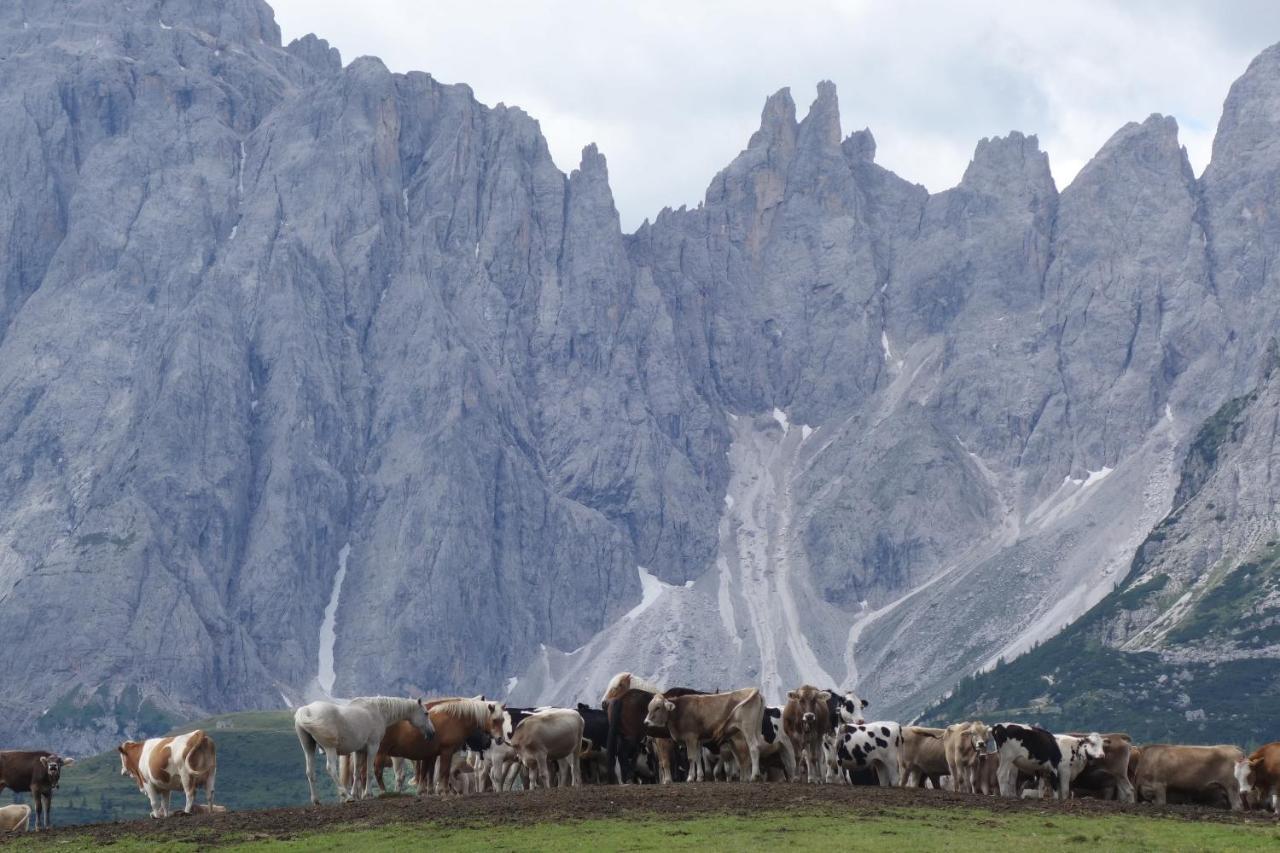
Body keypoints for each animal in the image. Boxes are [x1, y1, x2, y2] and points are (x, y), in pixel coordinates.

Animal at [294, 696, 435, 799]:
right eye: (426, 713)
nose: (432, 732)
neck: (378, 711)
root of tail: (306, 710)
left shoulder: (359, 750)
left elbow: (357, 772)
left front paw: (355, 793)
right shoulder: (373, 747)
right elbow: (369, 771)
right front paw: (367, 794)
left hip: (308, 748)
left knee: (310, 772)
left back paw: (316, 800)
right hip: (330, 749)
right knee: (331, 769)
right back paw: (346, 796)